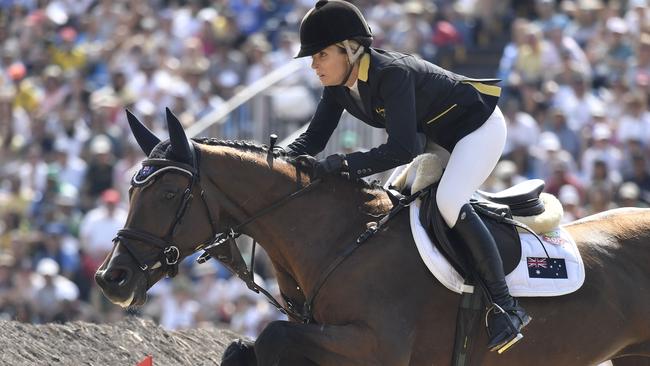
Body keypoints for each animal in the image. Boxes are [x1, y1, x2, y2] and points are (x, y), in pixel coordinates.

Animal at [96, 109, 648, 366]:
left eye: (169, 193)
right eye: (131, 188)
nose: (110, 279)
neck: (341, 240)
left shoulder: (374, 345)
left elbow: (272, 337)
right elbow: (243, 348)